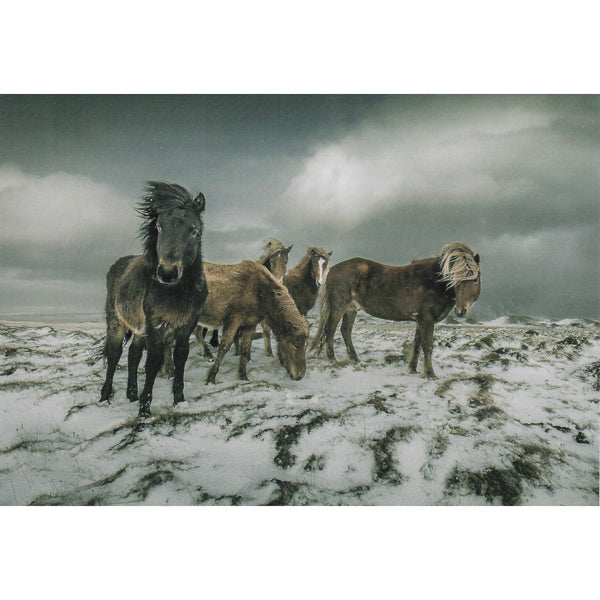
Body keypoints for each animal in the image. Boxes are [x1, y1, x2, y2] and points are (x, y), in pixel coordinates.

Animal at [99, 182, 207, 418]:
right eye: (159, 227)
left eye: (194, 230)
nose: (167, 273)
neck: (176, 293)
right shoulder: (156, 327)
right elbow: (153, 363)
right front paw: (144, 410)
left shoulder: (186, 325)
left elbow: (180, 357)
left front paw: (179, 400)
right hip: (117, 323)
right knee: (114, 355)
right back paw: (104, 398)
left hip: (139, 329)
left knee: (133, 355)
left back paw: (131, 394)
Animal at [312, 243, 480, 376]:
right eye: (454, 278)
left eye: (475, 279)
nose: (461, 311)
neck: (435, 282)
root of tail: (332, 269)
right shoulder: (427, 319)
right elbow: (427, 346)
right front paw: (430, 373)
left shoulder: (420, 319)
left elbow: (417, 343)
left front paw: (412, 369)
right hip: (338, 308)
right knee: (330, 330)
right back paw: (333, 360)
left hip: (351, 309)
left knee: (345, 330)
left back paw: (355, 359)